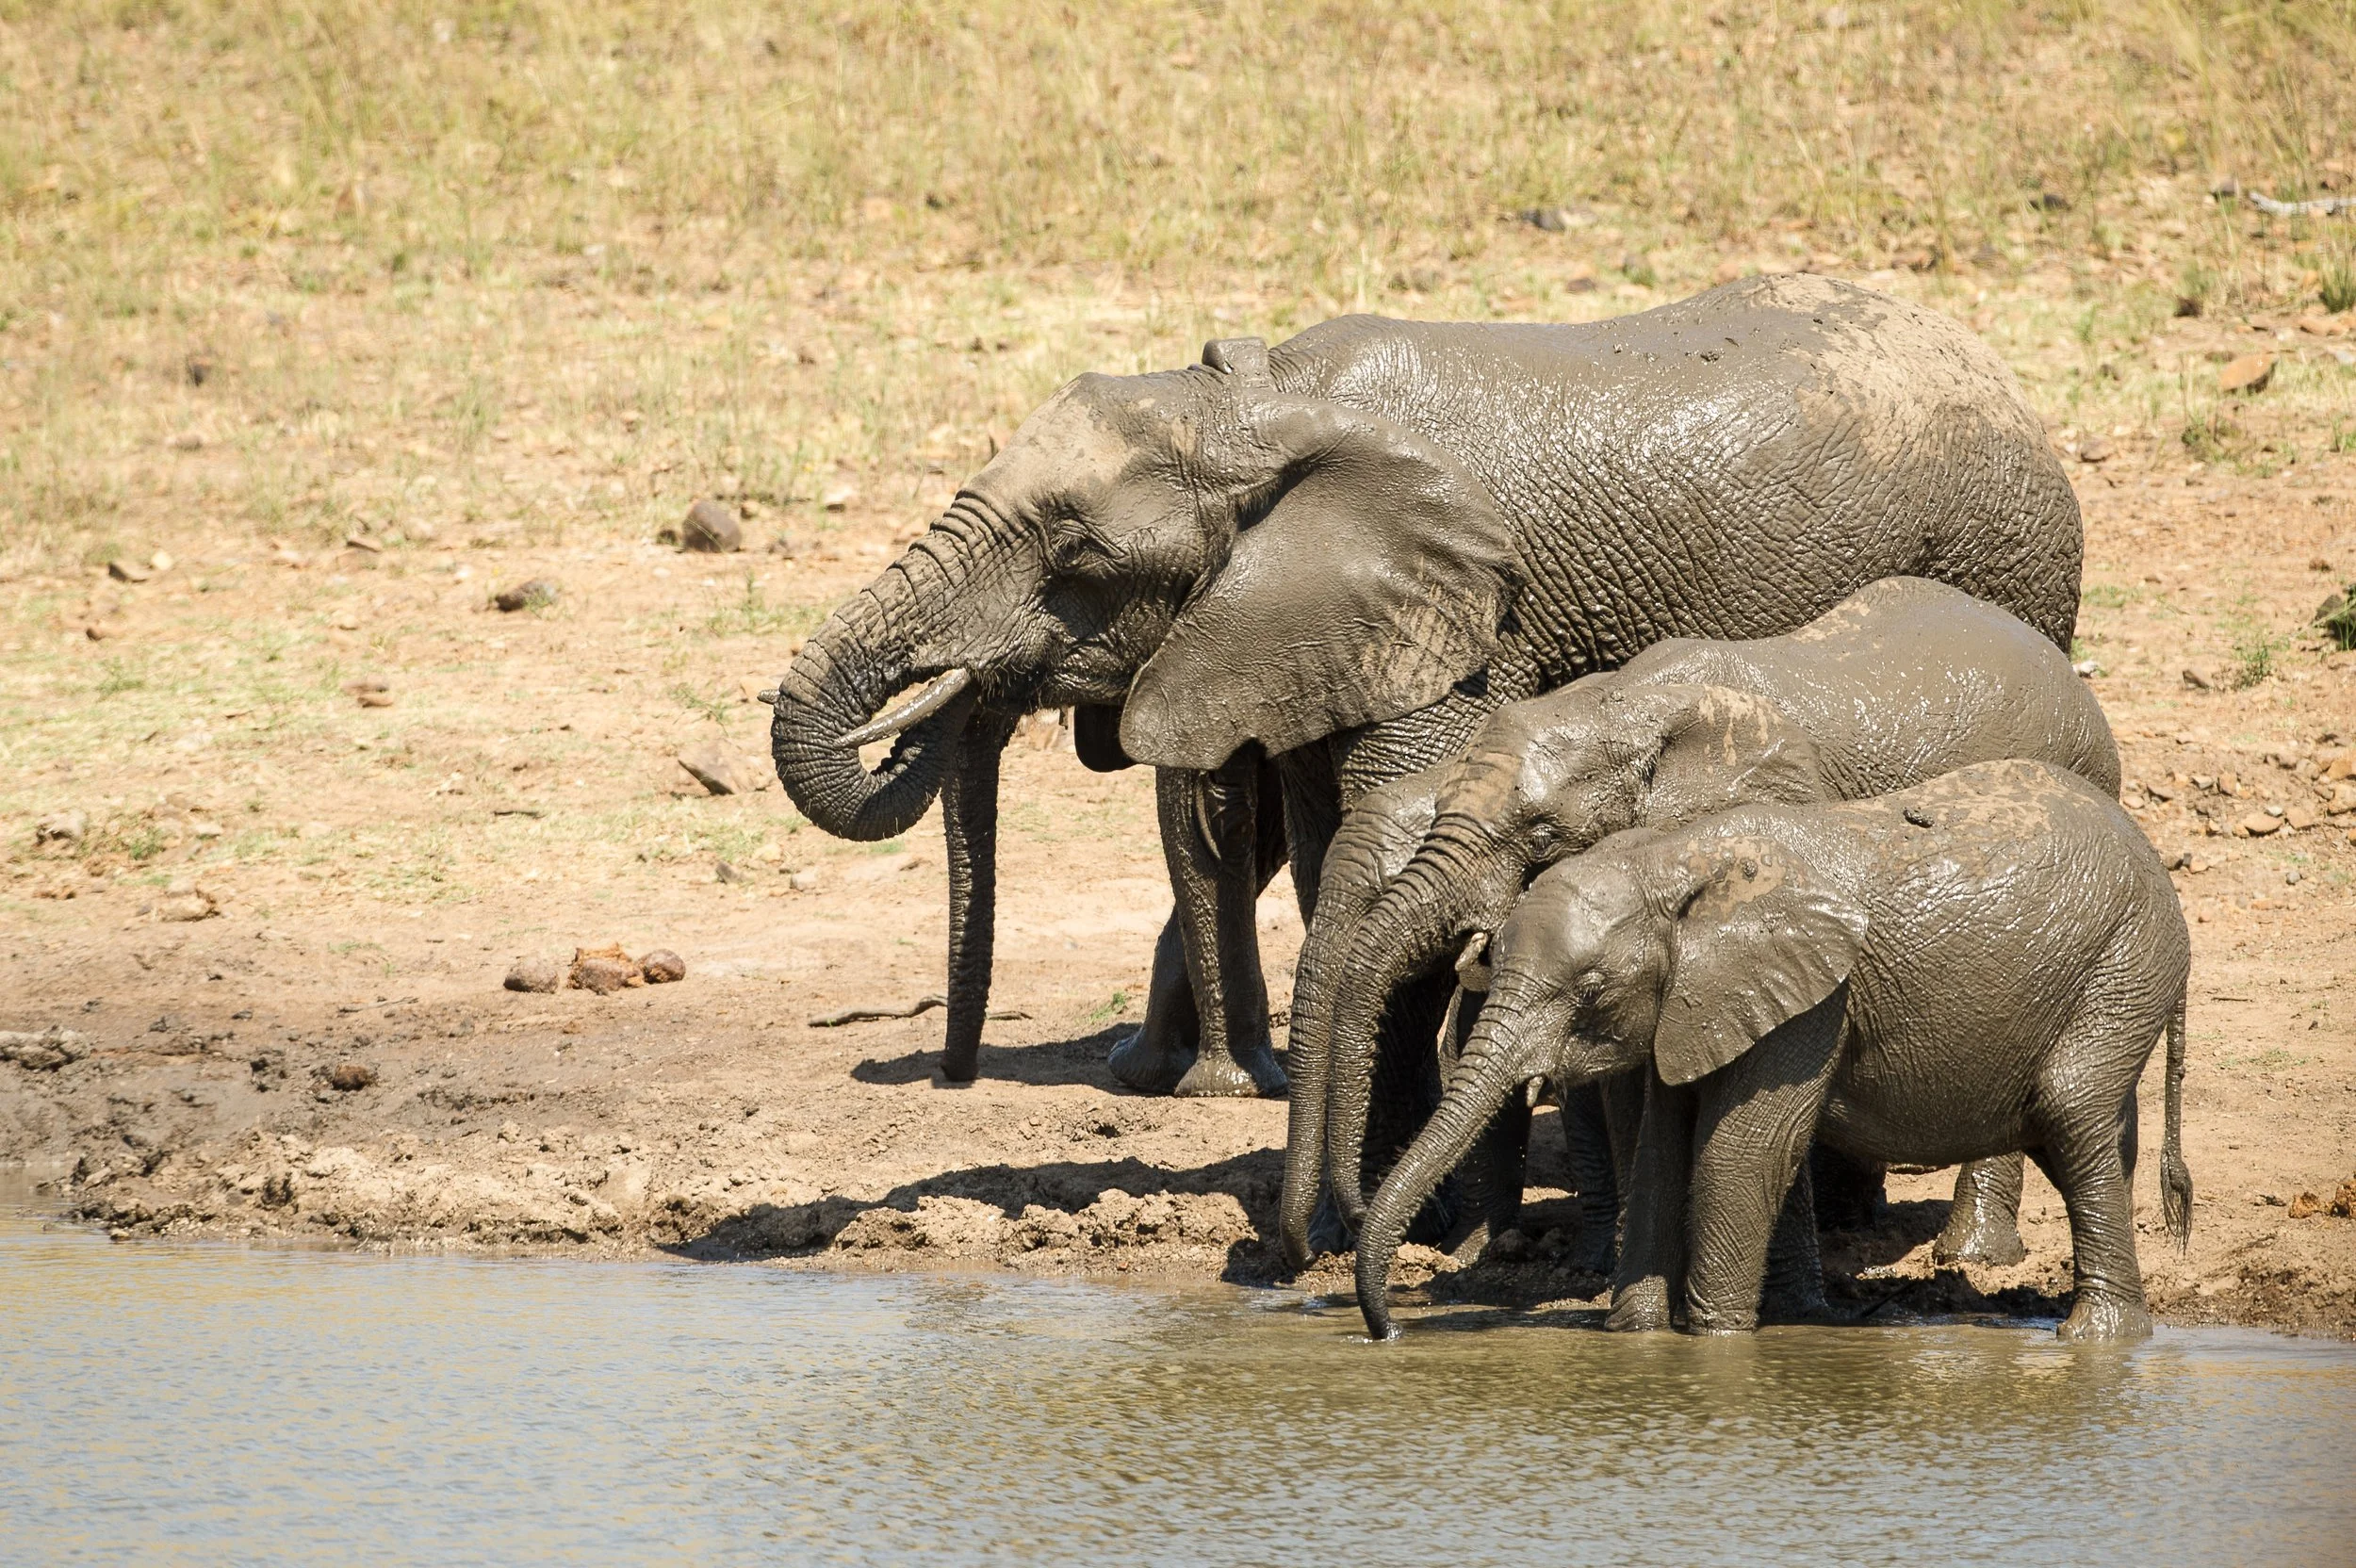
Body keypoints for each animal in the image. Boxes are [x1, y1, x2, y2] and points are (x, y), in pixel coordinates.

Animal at [765, 274, 2082, 1104]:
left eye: (1077, 554)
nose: (949, 1076)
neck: (1259, 401)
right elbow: (1305, 839)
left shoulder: (1453, 617)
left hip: (2008, 560)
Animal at [1353, 759, 2193, 1343]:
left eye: (1588, 991)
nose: (1388, 1330)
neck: (1674, 861)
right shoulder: (1691, 1004)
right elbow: (1660, 1152)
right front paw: (1633, 1339)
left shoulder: (1811, 1002)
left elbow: (1740, 1154)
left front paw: (1714, 1342)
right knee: (2087, 1135)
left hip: (2127, 958)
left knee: (2071, 1111)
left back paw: (2096, 1338)